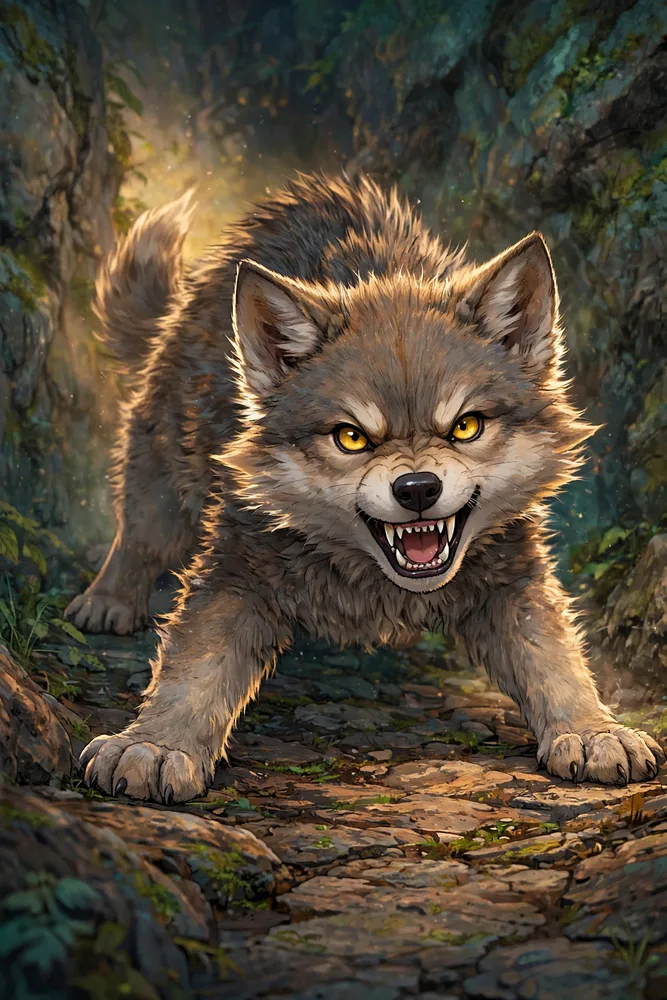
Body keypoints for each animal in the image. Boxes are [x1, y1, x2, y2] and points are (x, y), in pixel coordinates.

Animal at [67, 174, 664, 803]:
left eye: (465, 426)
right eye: (351, 437)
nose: (418, 488)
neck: (376, 588)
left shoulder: (514, 578)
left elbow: (555, 660)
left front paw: (594, 732)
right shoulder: (235, 568)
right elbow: (195, 667)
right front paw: (154, 747)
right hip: (161, 465)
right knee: (139, 533)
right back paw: (107, 601)